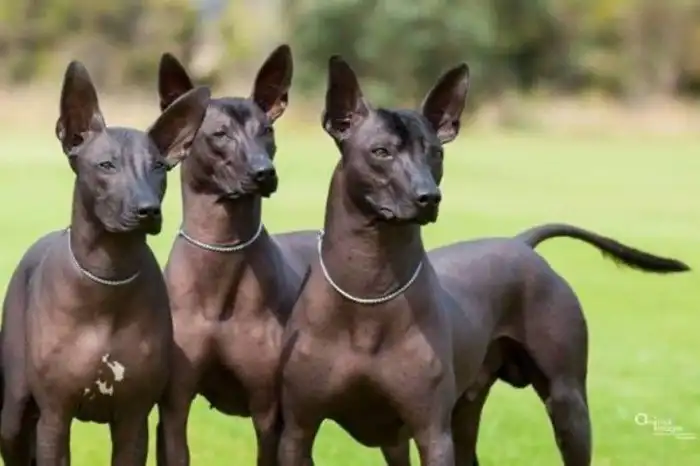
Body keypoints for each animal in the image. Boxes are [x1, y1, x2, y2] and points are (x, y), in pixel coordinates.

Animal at [0, 61, 210, 466]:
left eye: (159, 167)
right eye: (107, 165)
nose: (148, 210)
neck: (107, 279)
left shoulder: (133, 419)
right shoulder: (55, 416)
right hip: (15, 417)